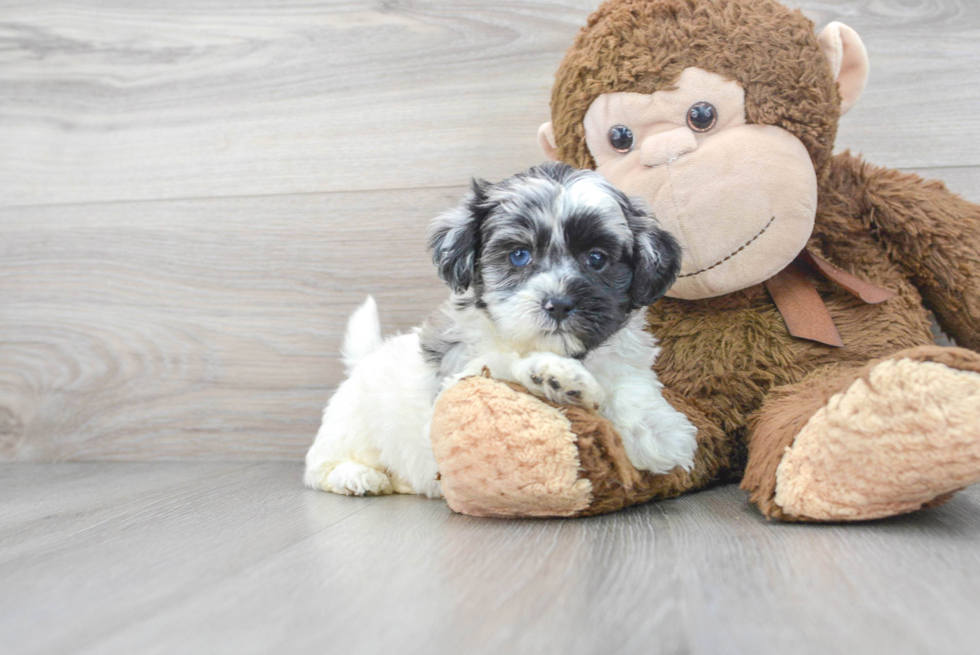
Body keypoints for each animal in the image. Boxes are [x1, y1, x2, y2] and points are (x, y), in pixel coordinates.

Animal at [306, 163, 696, 498]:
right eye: (519, 255)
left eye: (597, 258)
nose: (558, 303)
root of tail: (364, 361)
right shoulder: (459, 378)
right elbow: (502, 365)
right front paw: (552, 375)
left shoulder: (626, 361)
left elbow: (632, 387)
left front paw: (658, 431)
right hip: (349, 427)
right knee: (318, 467)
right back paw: (357, 476)